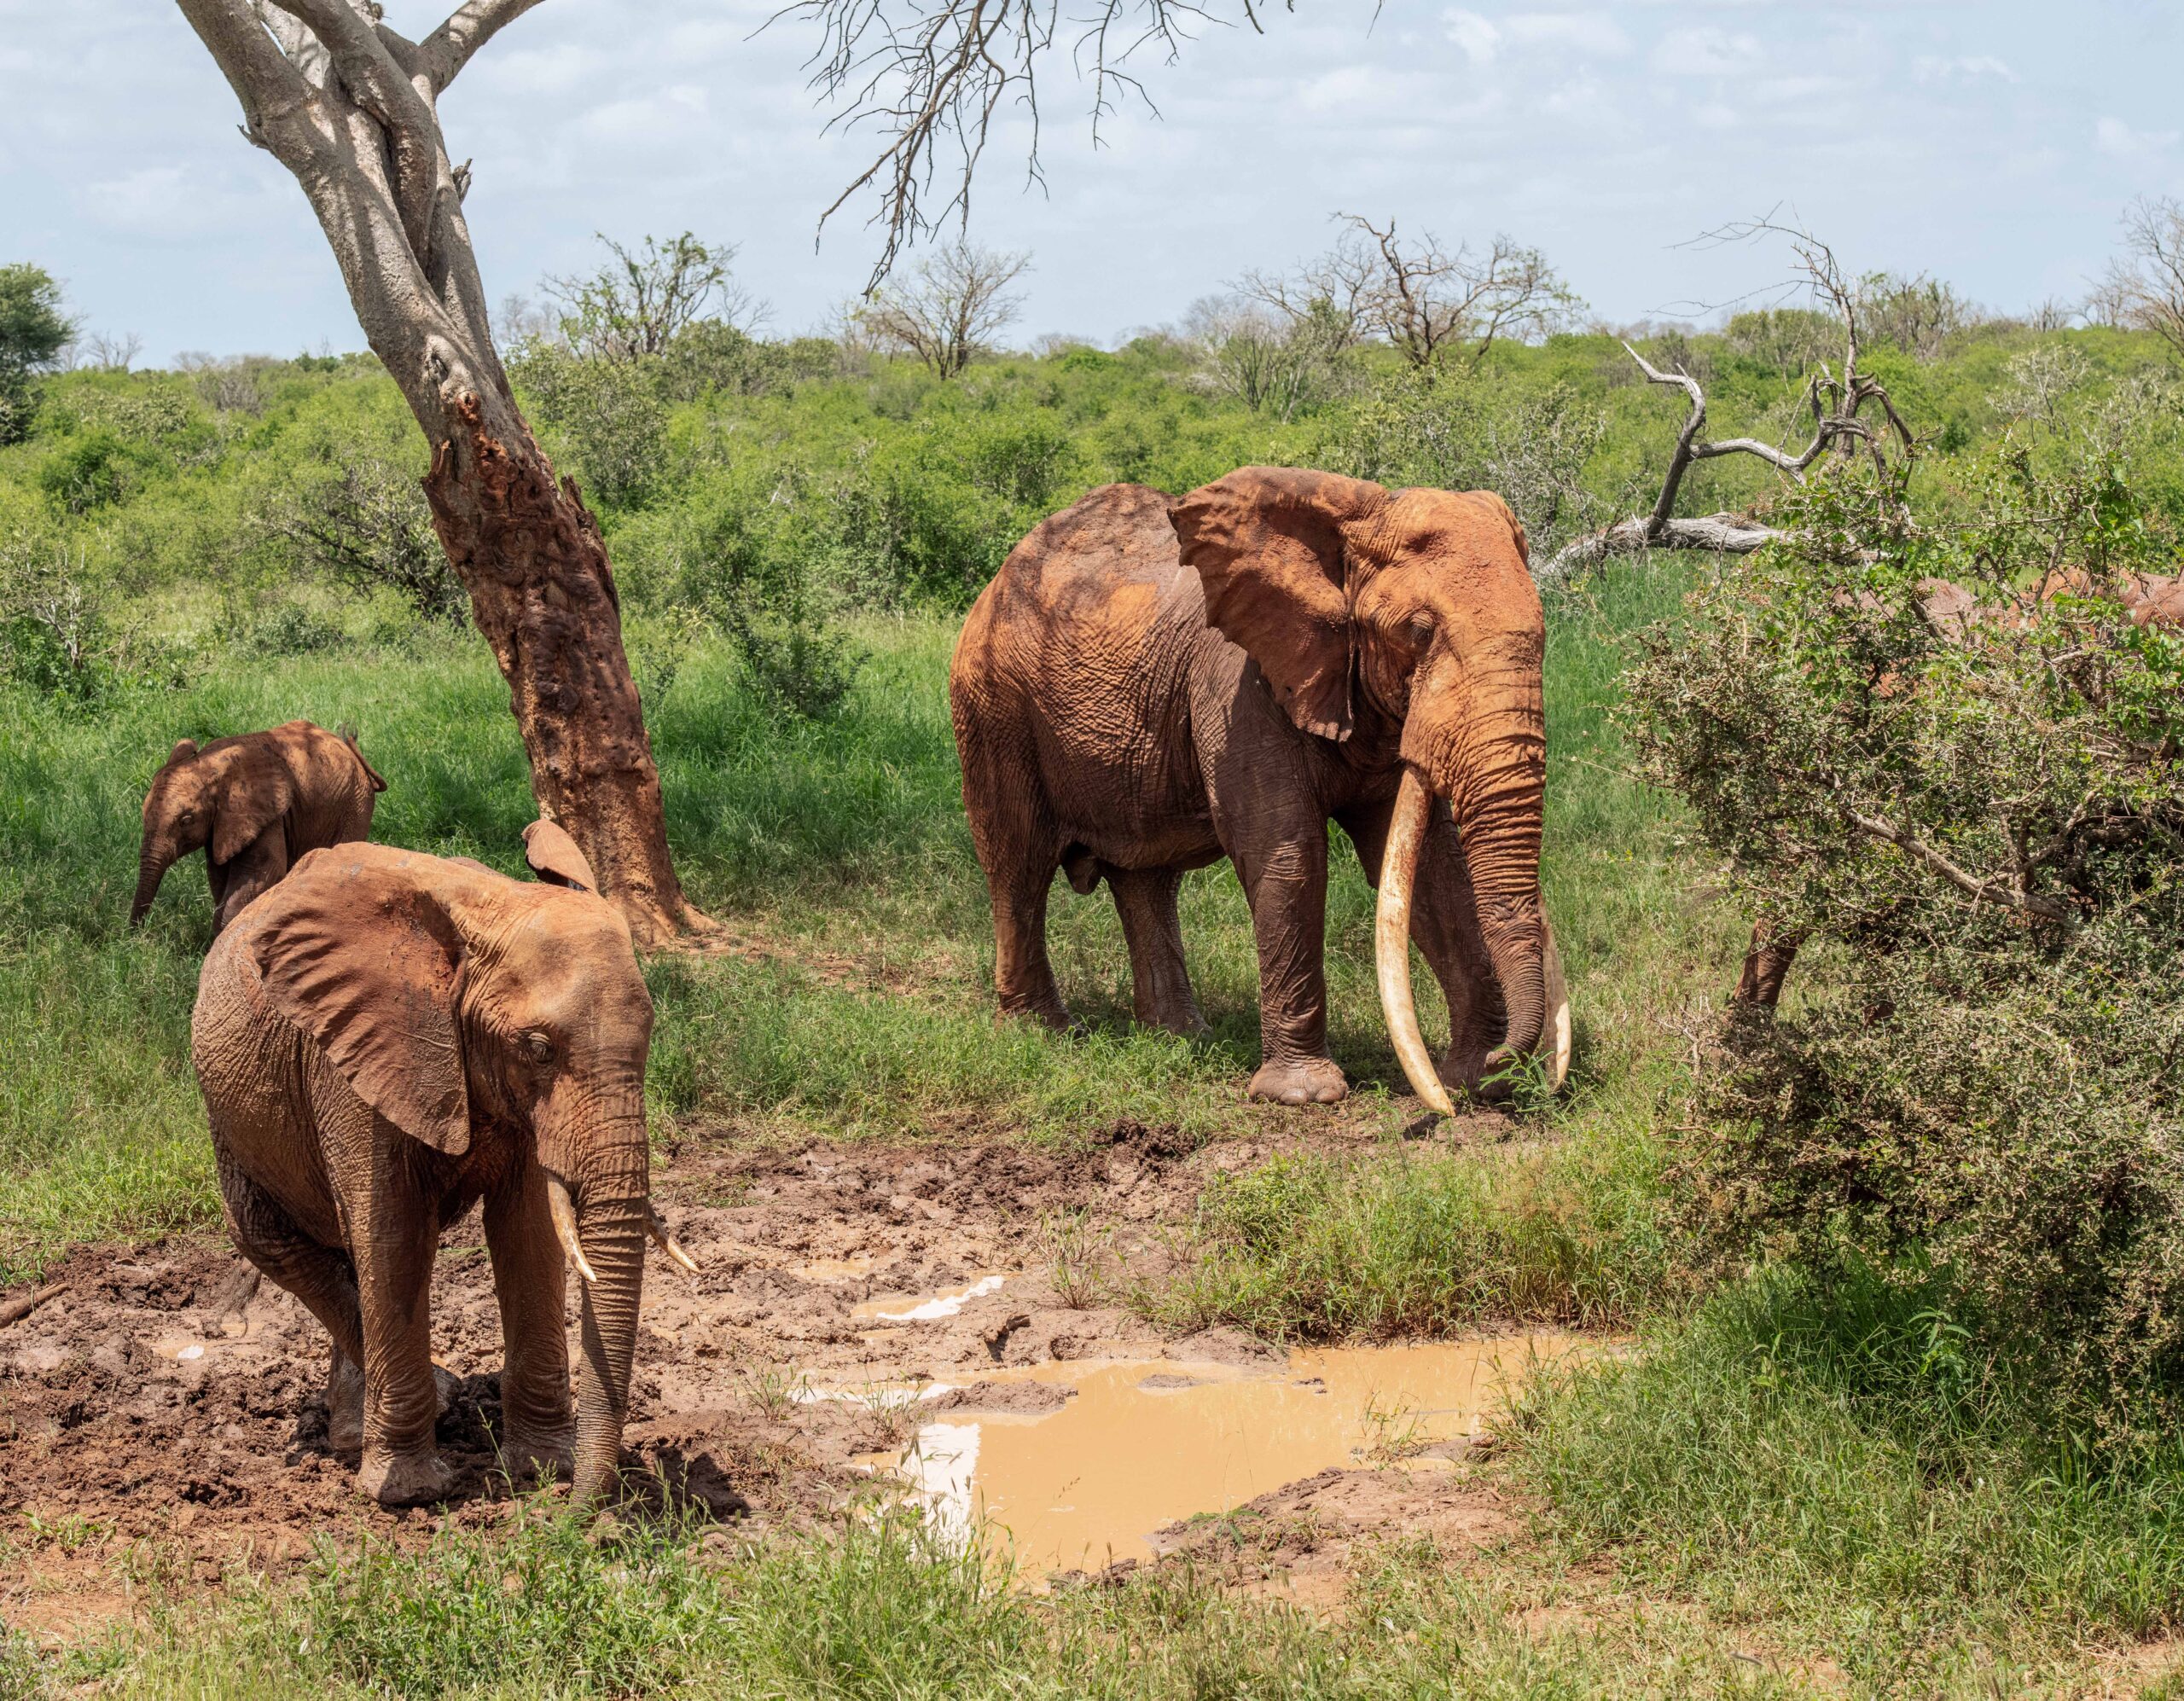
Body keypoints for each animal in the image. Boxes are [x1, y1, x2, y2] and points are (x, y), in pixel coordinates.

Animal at [132, 720, 386, 934]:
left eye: (186, 821)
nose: (136, 936)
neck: (208, 763)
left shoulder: (269, 814)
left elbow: (262, 872)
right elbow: (219, 876)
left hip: (355, 803)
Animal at [189, 826, 695, 1507]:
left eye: (649, 1037)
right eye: (539, 1049)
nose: (585, 1513)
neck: (493, 908)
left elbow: (528, 1234)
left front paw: (544, 1467)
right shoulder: (358, 1056)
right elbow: (394, 1236)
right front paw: (409, 1494)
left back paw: (366, 1430)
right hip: (231, 1111)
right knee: (273, 1241)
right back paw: (428, 1404)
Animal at [949, 467, 1570, 1112]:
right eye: (1417, 633)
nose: (1511, 1064)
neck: (1352, 521)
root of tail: (1000, 575)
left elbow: (1428, 871)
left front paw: (1477, 1080)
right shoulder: (1239, 689)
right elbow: (1289, 855)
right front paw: (1305, 1097)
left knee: (1146, 878)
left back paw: (1179, 1039)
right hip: (993, 707)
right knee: (1018, 864)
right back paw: (1040, 1033)